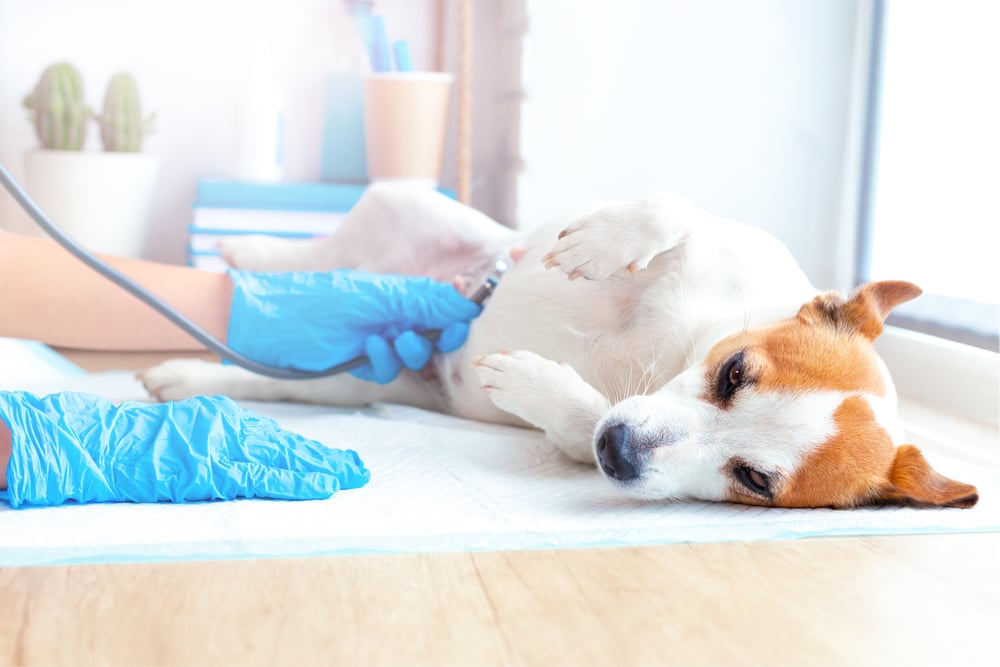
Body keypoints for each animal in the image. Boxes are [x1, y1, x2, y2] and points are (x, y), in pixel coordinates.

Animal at [141, 185, 976, 508]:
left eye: (756, 479)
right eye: (736, 371)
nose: (622, 453)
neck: (676, 348)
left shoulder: (593, 431)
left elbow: (579, 418)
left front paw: (536, 386)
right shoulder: (727, 240)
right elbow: (671, 210)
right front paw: (604, 242)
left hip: (356, 379)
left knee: (283, 372)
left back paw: (187, 372)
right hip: (407, 203)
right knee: (320, 249)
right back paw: (248, 247)